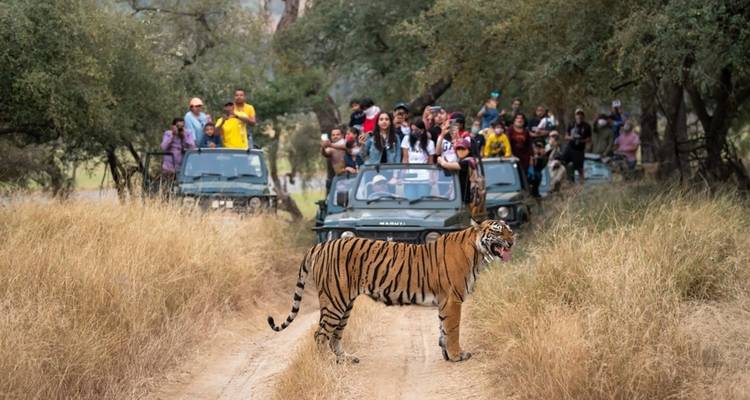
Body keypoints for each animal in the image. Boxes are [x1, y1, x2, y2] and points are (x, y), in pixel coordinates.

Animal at [267, 219, 514, 363]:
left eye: (510, 230)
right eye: (498, 232)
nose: (512, 241)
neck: (478, 253)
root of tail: (321, 245)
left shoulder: (446, 302)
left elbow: (443, 329)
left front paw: (447, 354)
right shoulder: (453, 299)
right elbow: (453, 330)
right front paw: (457, 355)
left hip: (344, 304)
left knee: (334, 335)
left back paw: (345, 359)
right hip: (334, 301)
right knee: (320, 334)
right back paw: (325, 364)